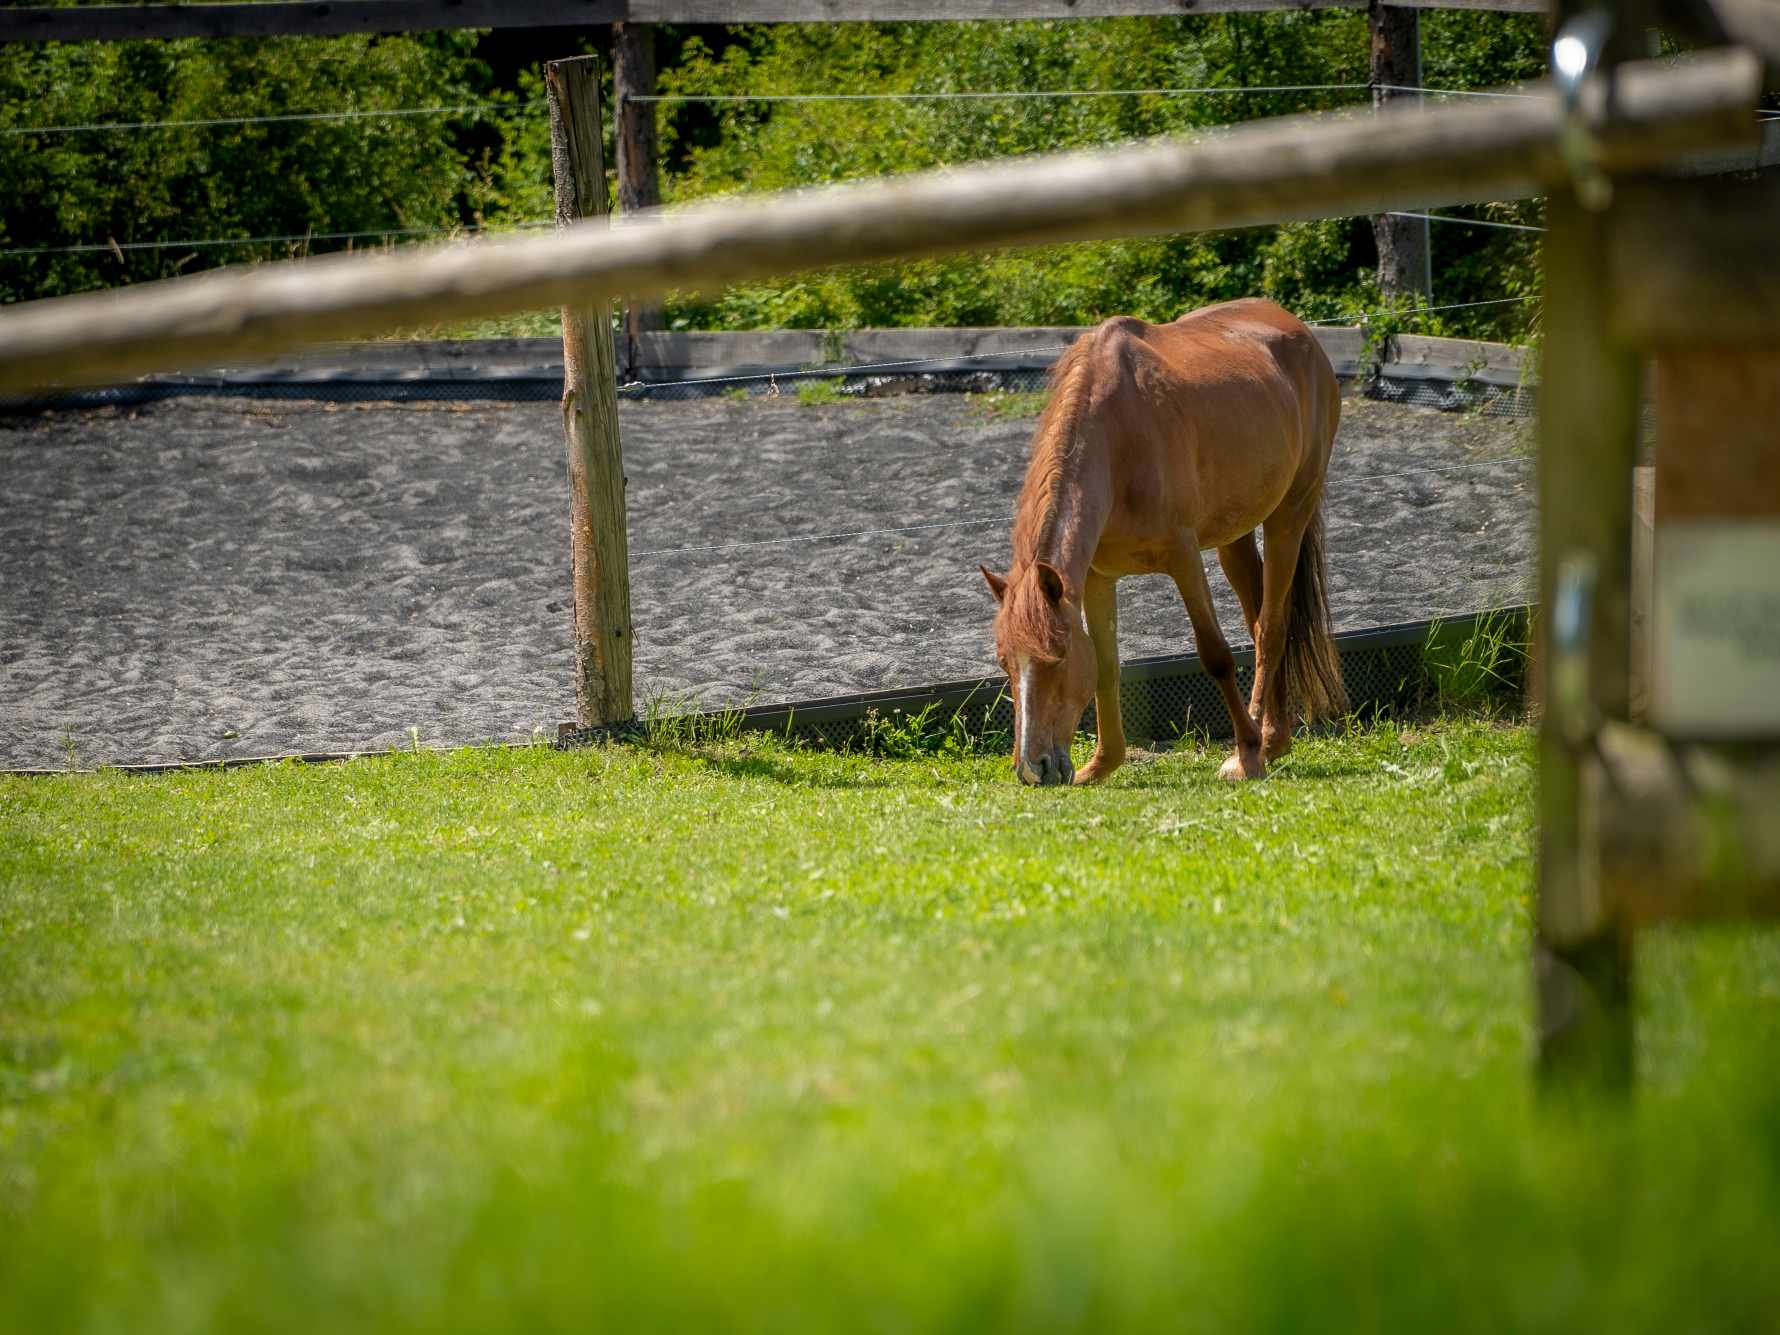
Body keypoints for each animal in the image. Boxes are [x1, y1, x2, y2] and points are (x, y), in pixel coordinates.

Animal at [979, 297, 1347, 787]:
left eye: (1055, 657)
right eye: (1005, 662)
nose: (1031, 768)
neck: (1116, 444)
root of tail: (1296, 328)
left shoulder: (1183, 558)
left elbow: (1216, 655)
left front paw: (1246, 754)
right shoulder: (1097, 577)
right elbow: (1106, 668)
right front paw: (1102, 764)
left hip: (1289, 515)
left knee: (1271, 627)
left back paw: (1257, 746)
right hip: (1235, 538)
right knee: (1258, 618)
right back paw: (1274, 739)